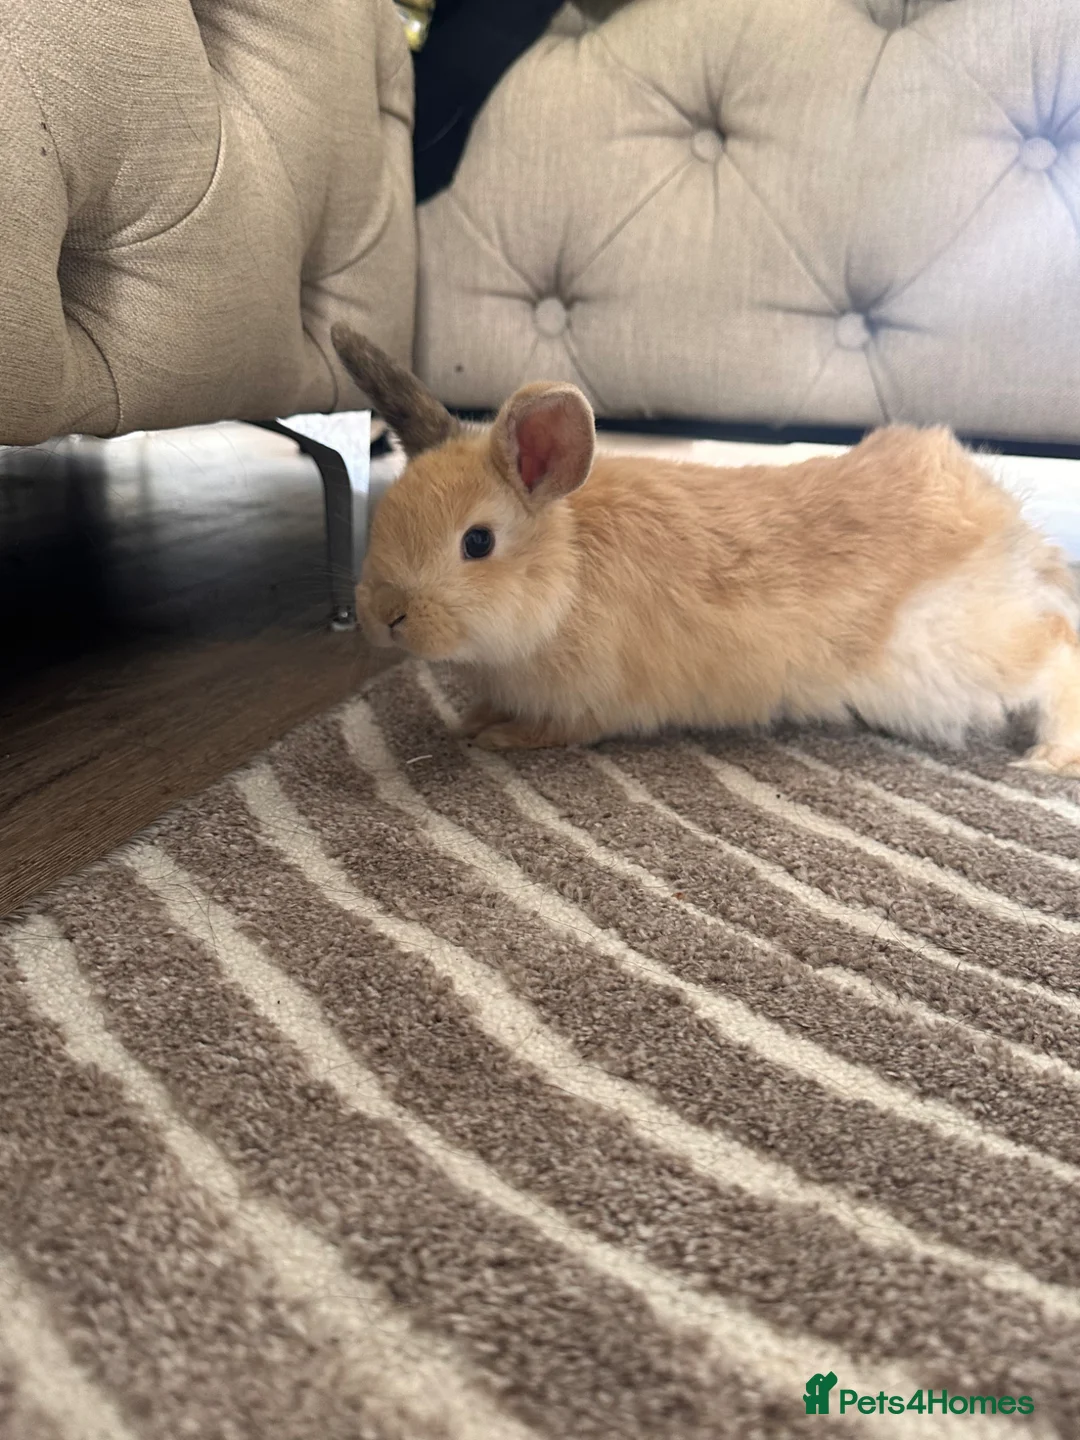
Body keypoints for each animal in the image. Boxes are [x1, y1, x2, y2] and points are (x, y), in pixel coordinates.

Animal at [331, 324, 1080, 776]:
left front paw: (495, 737)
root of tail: (998, 512)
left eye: (478, 542)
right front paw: (472, 719)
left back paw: (1050, 756)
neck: (566, 571)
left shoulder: (591, 705)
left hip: (959, 654)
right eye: (387, 514)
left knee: (1057, 648)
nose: (384, 616)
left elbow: (559, 730)